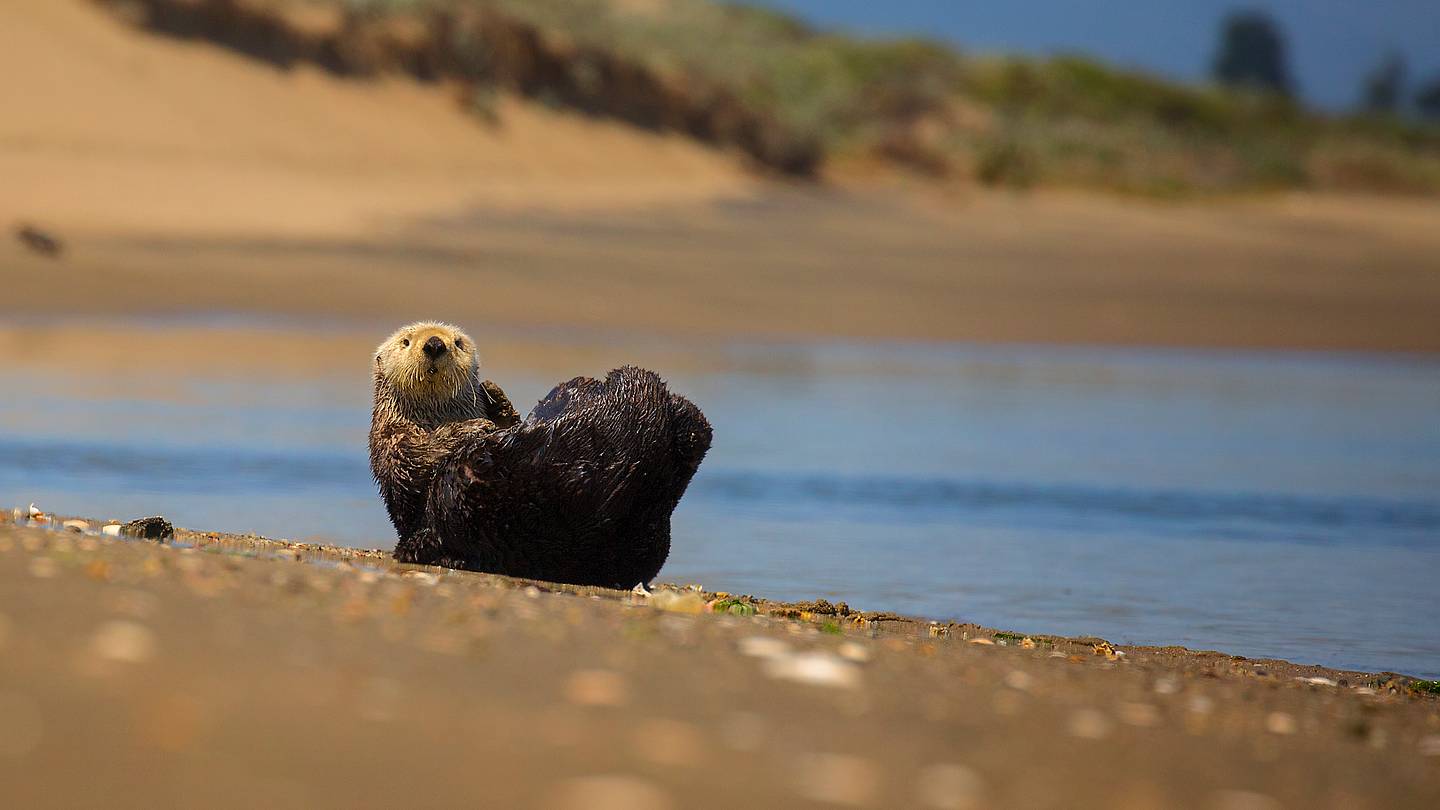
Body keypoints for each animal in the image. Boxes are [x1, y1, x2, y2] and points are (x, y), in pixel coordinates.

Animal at [369, 321, 712, 588]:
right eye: (405, 341)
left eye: (458, 342)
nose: (434, 344)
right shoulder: (396, 440)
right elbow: (419, 454)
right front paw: (475, 426)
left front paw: (496, 399)